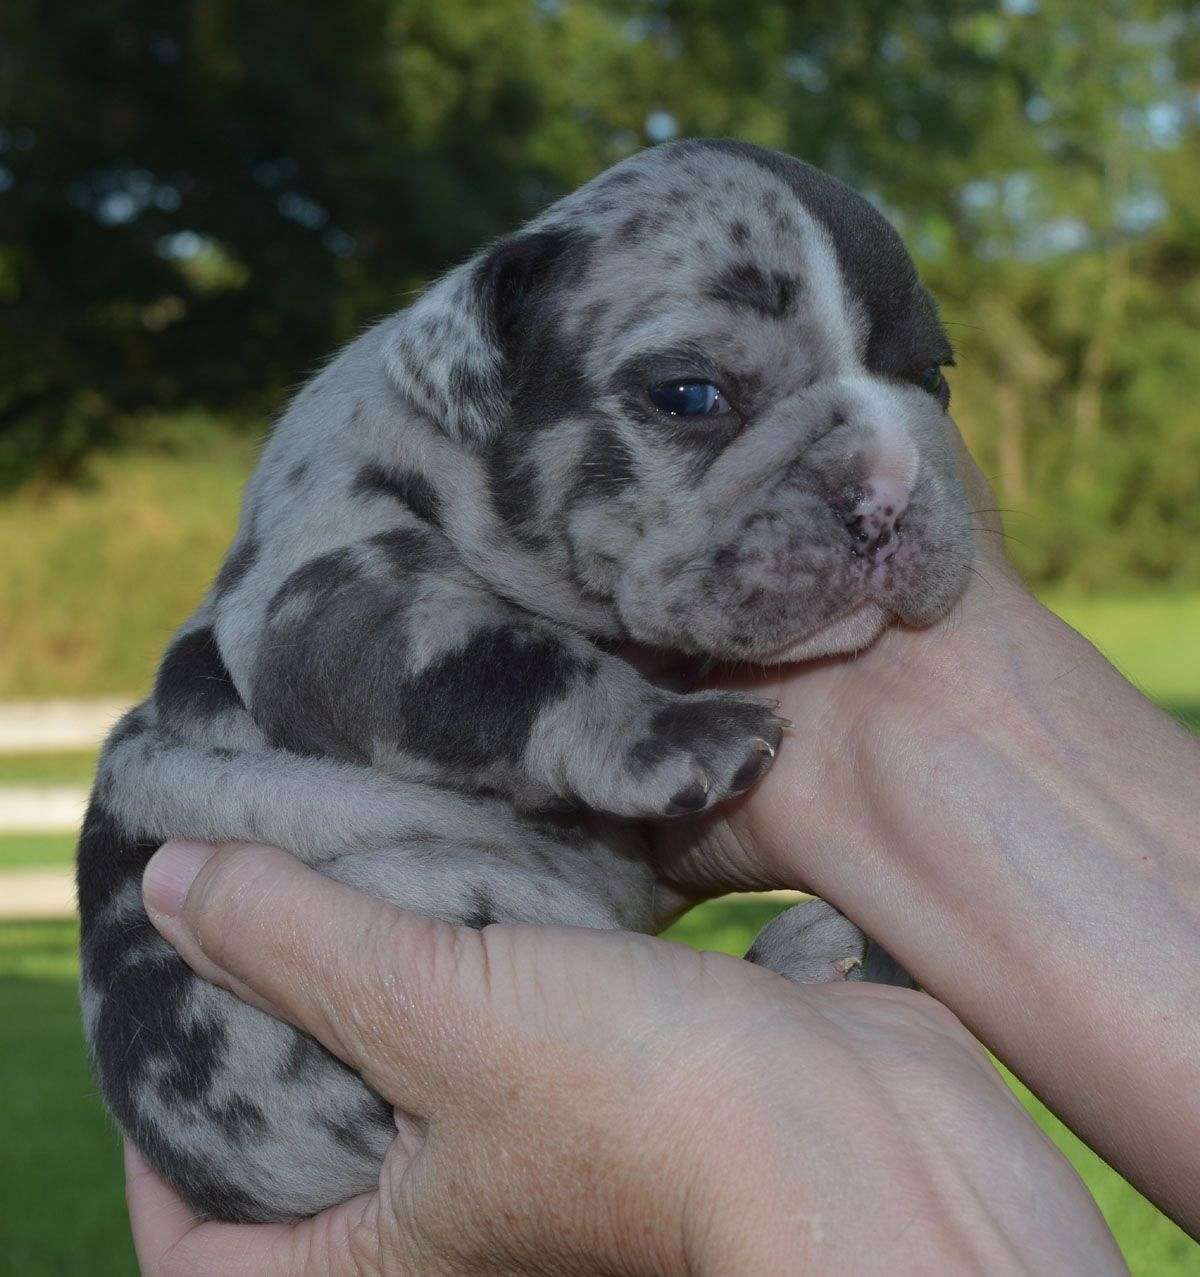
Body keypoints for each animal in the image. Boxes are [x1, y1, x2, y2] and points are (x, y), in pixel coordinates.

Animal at [75, 134, 975, 1220]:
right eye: (689, 394)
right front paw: (670, 733)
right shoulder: (336, 601)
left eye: (934, 375)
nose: (888, 485)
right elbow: (511, 660)